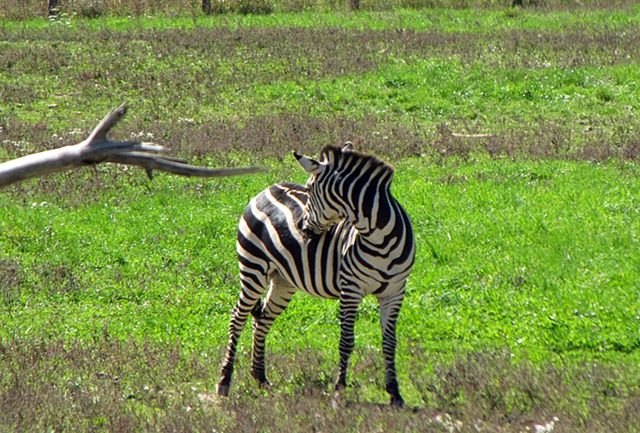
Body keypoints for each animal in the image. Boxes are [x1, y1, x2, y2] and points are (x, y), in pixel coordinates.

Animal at [216, 142, 416, 406]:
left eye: (310, 188)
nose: (302, 228)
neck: (381, 240)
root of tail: (268, 188)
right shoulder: (350, 289)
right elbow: (346, 341)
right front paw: (339, 389)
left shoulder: (395, 292)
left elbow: (390, 342)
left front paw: (394, 392)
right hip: (253, 268)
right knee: (238, 317)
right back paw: (224, 380)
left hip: (283, 280)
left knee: (263, 319)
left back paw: (260, 378)